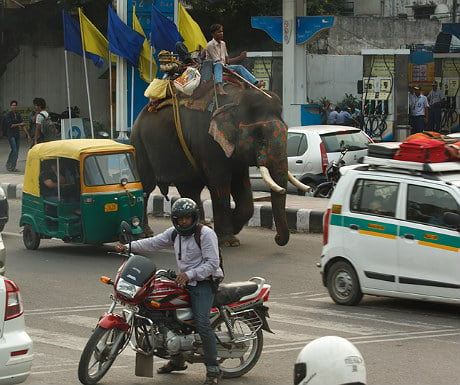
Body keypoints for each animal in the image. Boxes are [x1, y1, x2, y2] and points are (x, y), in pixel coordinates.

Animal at [129, 82, 310, 246]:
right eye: (260, 136)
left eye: (287, 129)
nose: (277, 238)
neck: (236, 100)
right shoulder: (209, 142)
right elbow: (220, 183)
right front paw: (229, 241)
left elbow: (242, 184)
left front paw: (233, 228)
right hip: (139, 144)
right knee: (146, 187)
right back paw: (146, 233)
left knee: (189, 188)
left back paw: (202, 227)